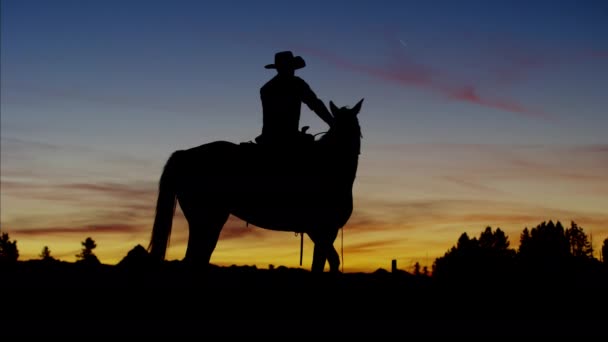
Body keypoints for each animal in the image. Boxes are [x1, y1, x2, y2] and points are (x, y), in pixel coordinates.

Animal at [148, 98, 364, 272]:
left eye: (356, 129)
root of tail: (184, 154)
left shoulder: (323, 232)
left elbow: (324, 263)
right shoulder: (322, 230)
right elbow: (327, 263)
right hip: (205, 219)